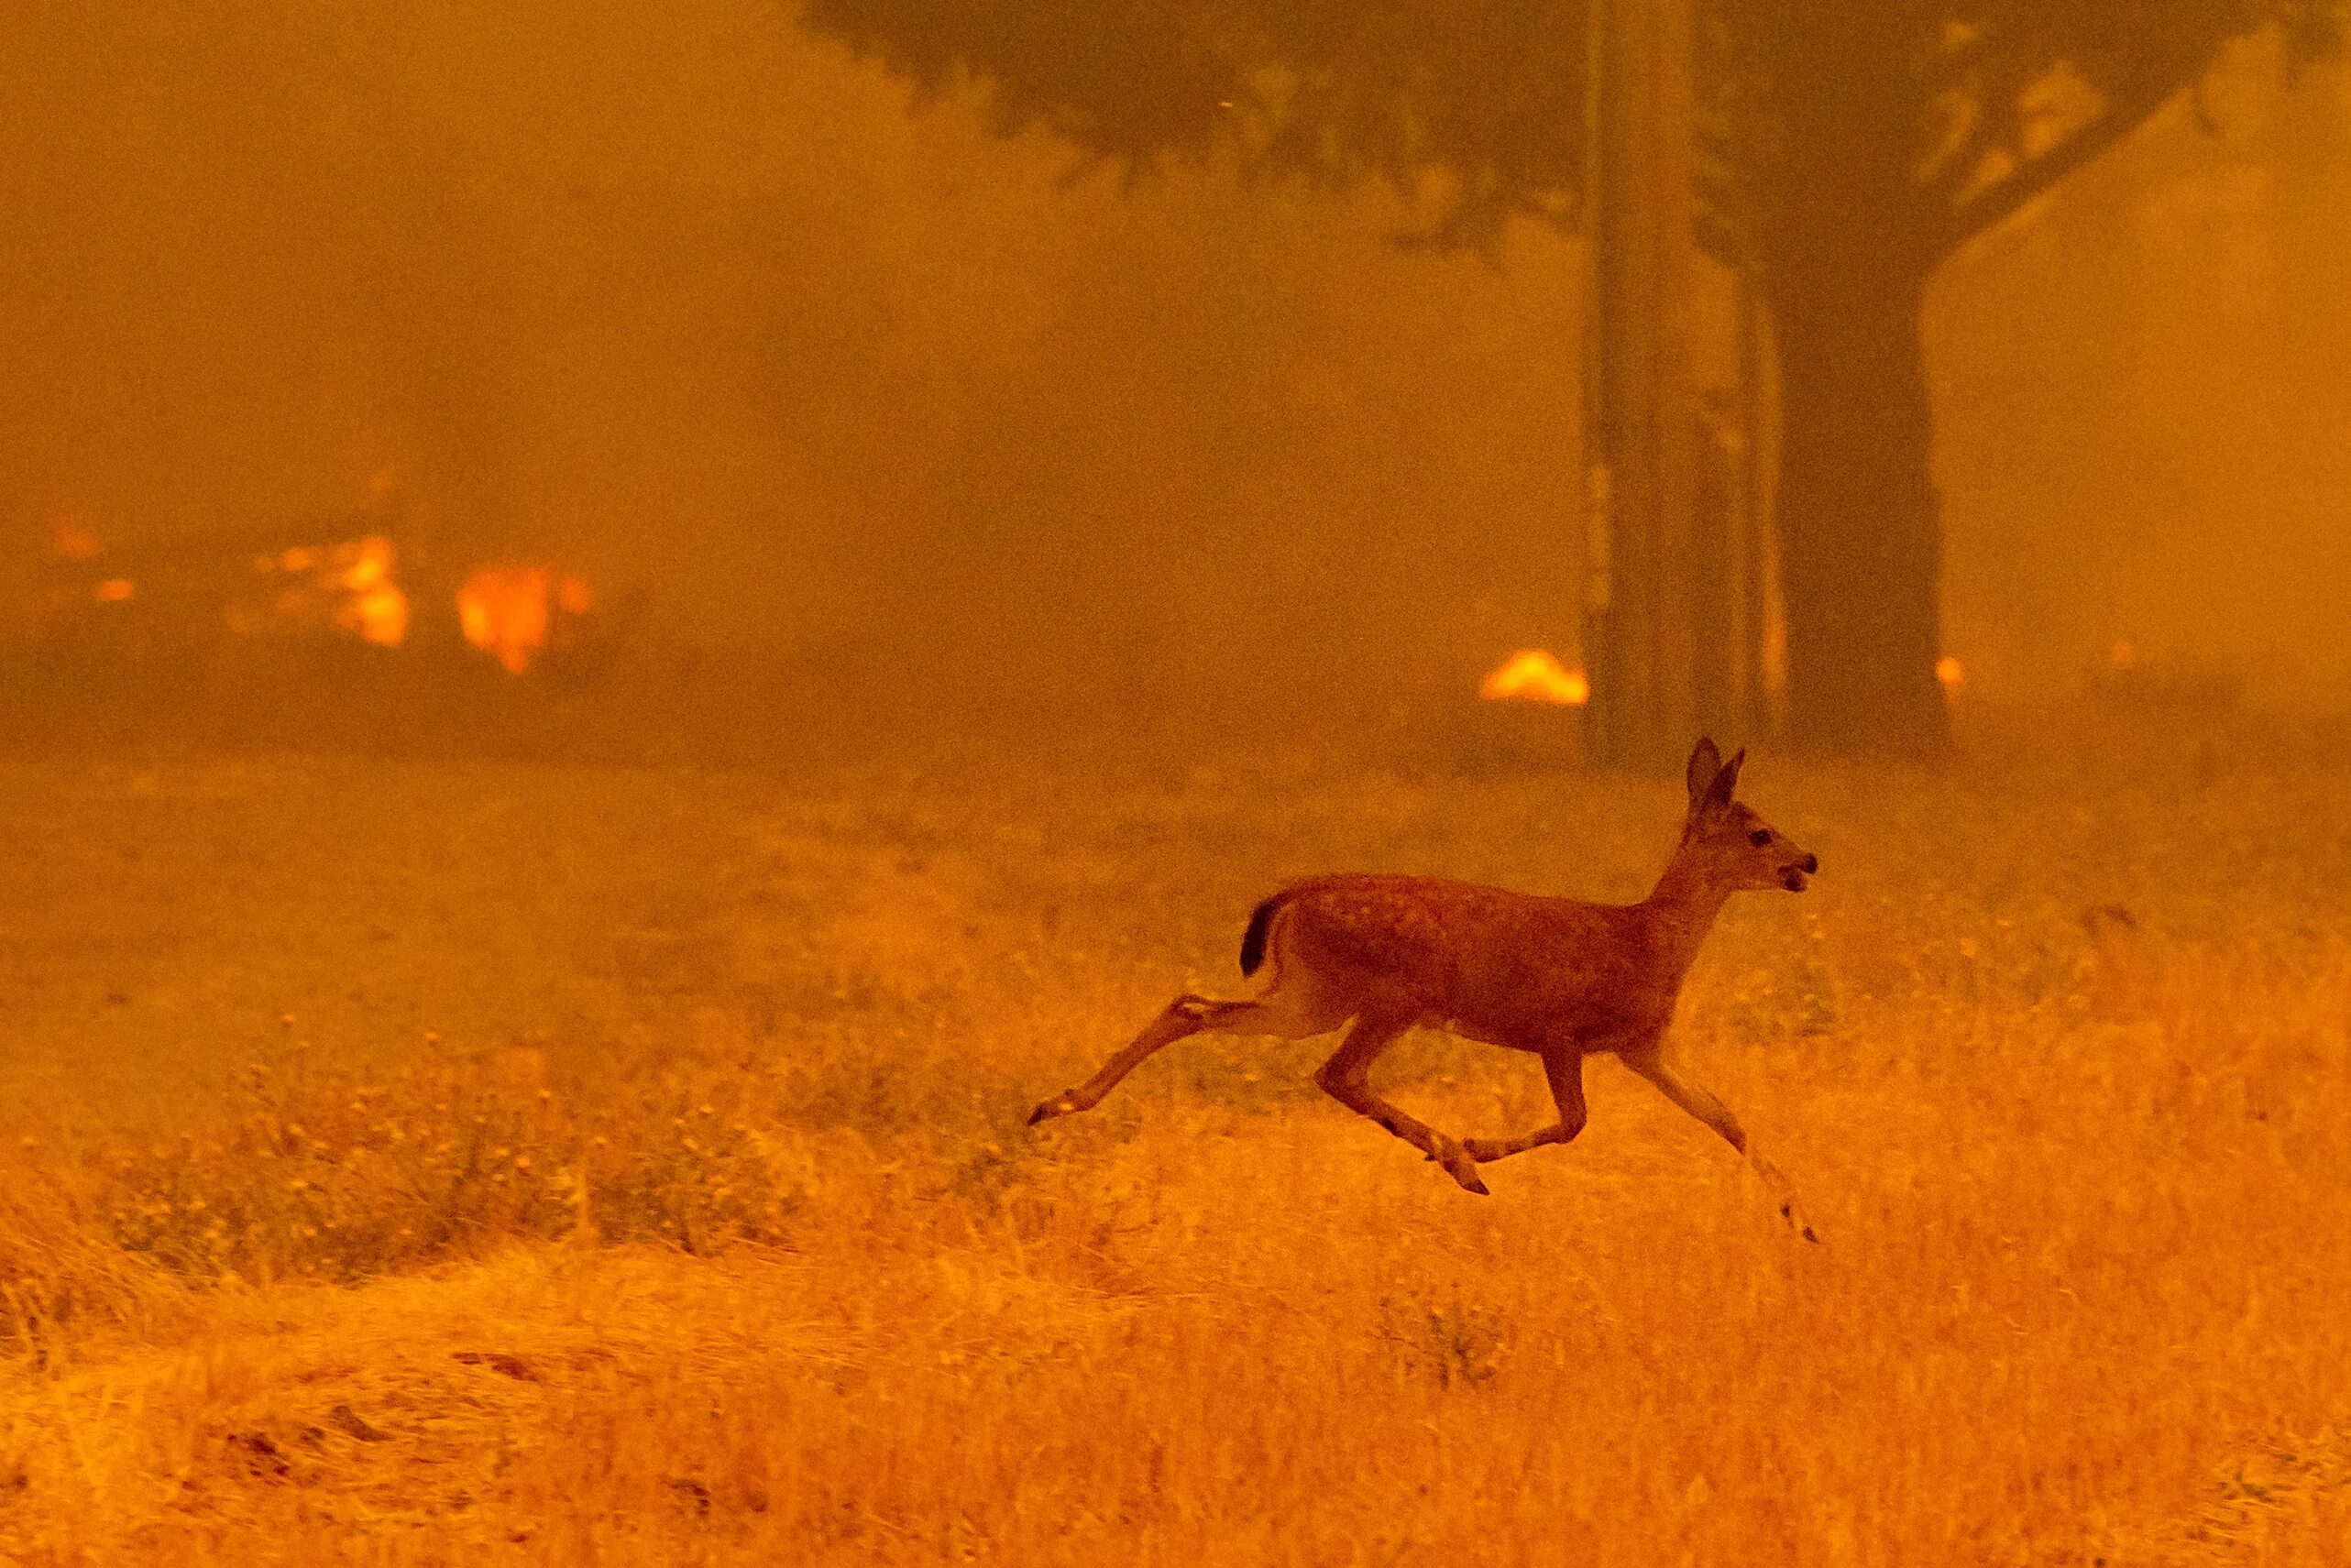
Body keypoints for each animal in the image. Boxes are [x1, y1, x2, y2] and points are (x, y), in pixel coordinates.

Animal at [1025, 738, 1815, 1241]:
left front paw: (1802, 1219)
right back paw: (1455, 1161)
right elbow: (1574, 1122)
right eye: (1758, 832)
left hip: (1307, 993)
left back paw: (1056, 1102)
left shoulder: (1642, 1045)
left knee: (1193, 1004)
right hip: (1385, 993)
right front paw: (1473, 1146)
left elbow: (1725, 1117)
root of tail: (1291, 895)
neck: (1646, 941)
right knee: (1336, 1072)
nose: (1807, 859)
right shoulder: (1559, 1028)